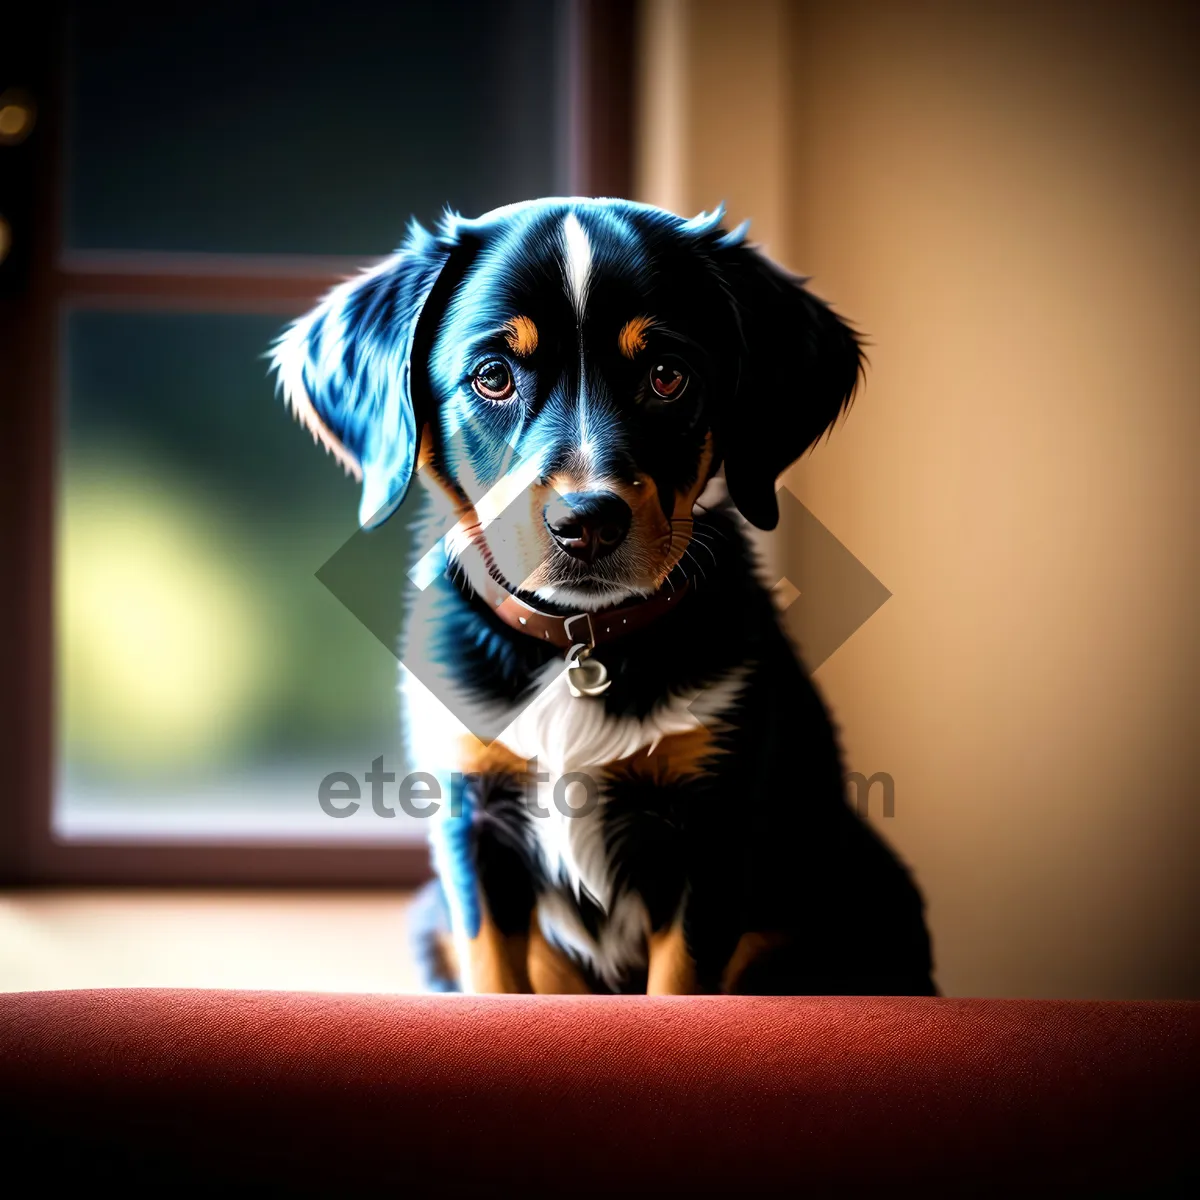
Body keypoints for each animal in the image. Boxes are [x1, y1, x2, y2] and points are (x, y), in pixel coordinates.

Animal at [274, 201, 936, 998]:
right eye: (493, 376)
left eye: (667, 375)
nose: (586, 521)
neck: (581, 641)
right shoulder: (474, 825)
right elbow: (495, 979)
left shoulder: (710, 833)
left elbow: (676, 989)